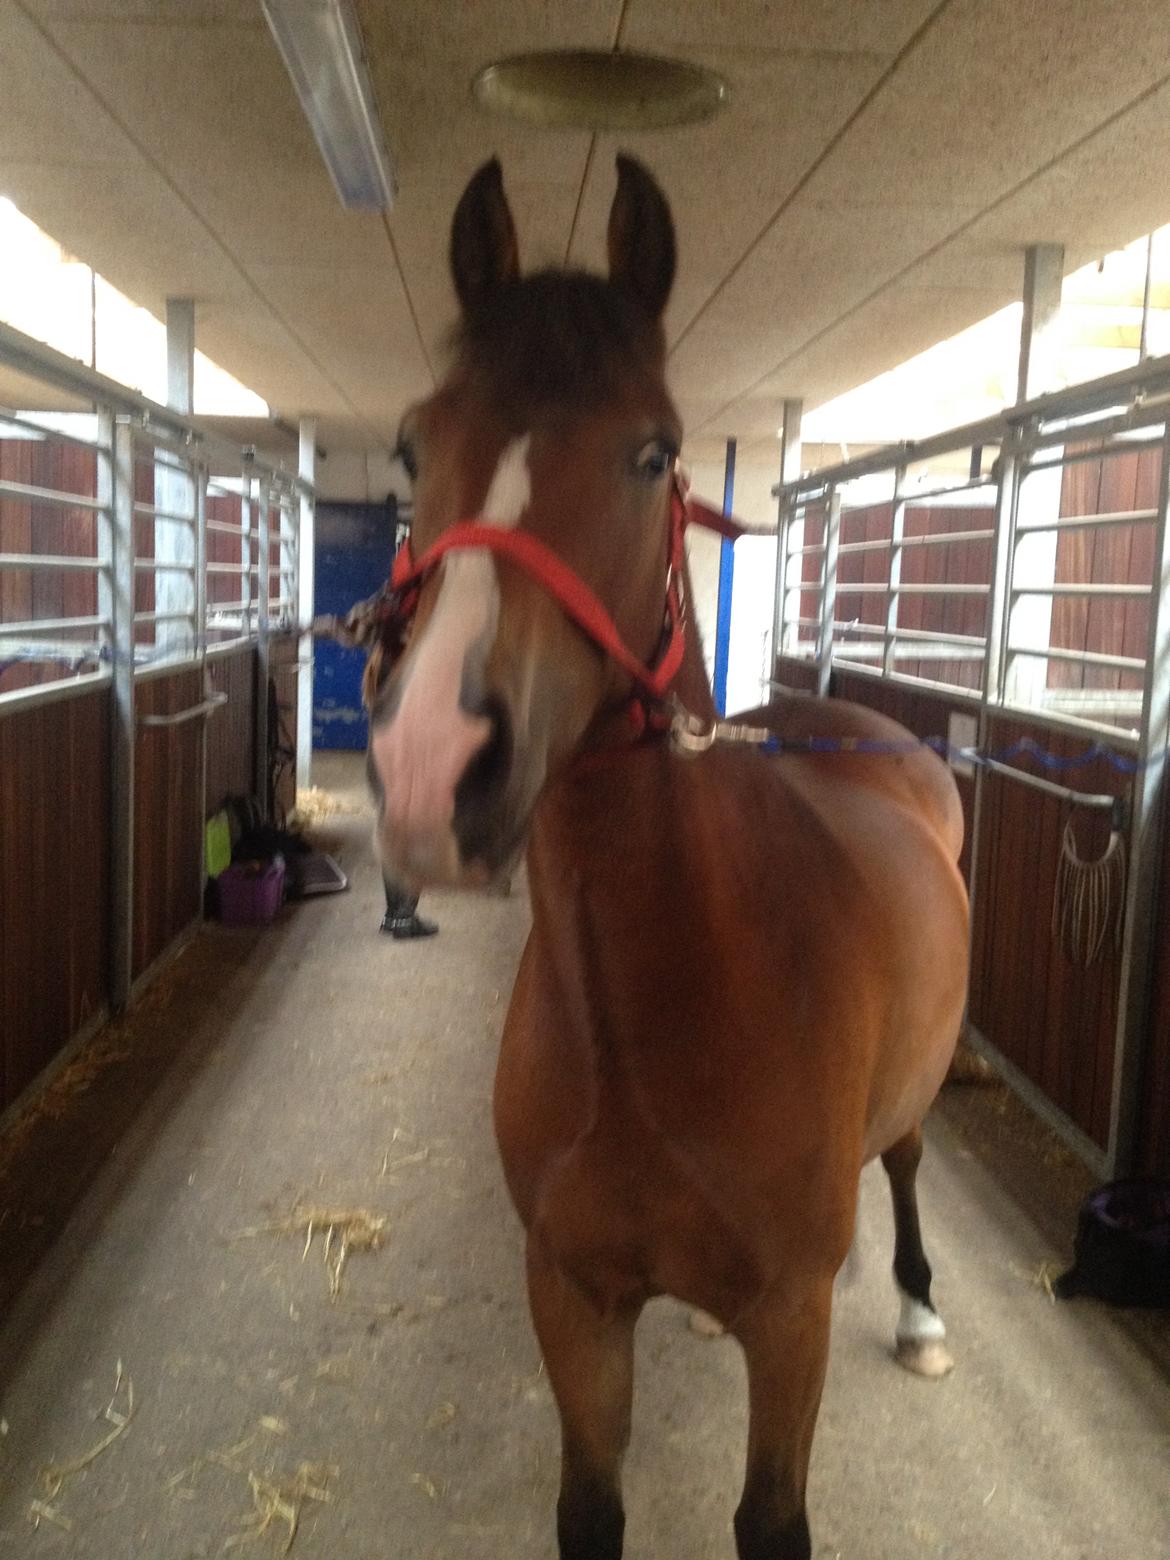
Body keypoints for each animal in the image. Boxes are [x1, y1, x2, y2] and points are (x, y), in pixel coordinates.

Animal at [365, 154, 970, 1560]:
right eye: (414, 445)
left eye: (654, 452)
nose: (431, 762)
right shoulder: (573, 1295)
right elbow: (590, 1508)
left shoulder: (795, 1320)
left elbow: (770, 1520)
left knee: (910, 1158)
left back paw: (921, 1310)